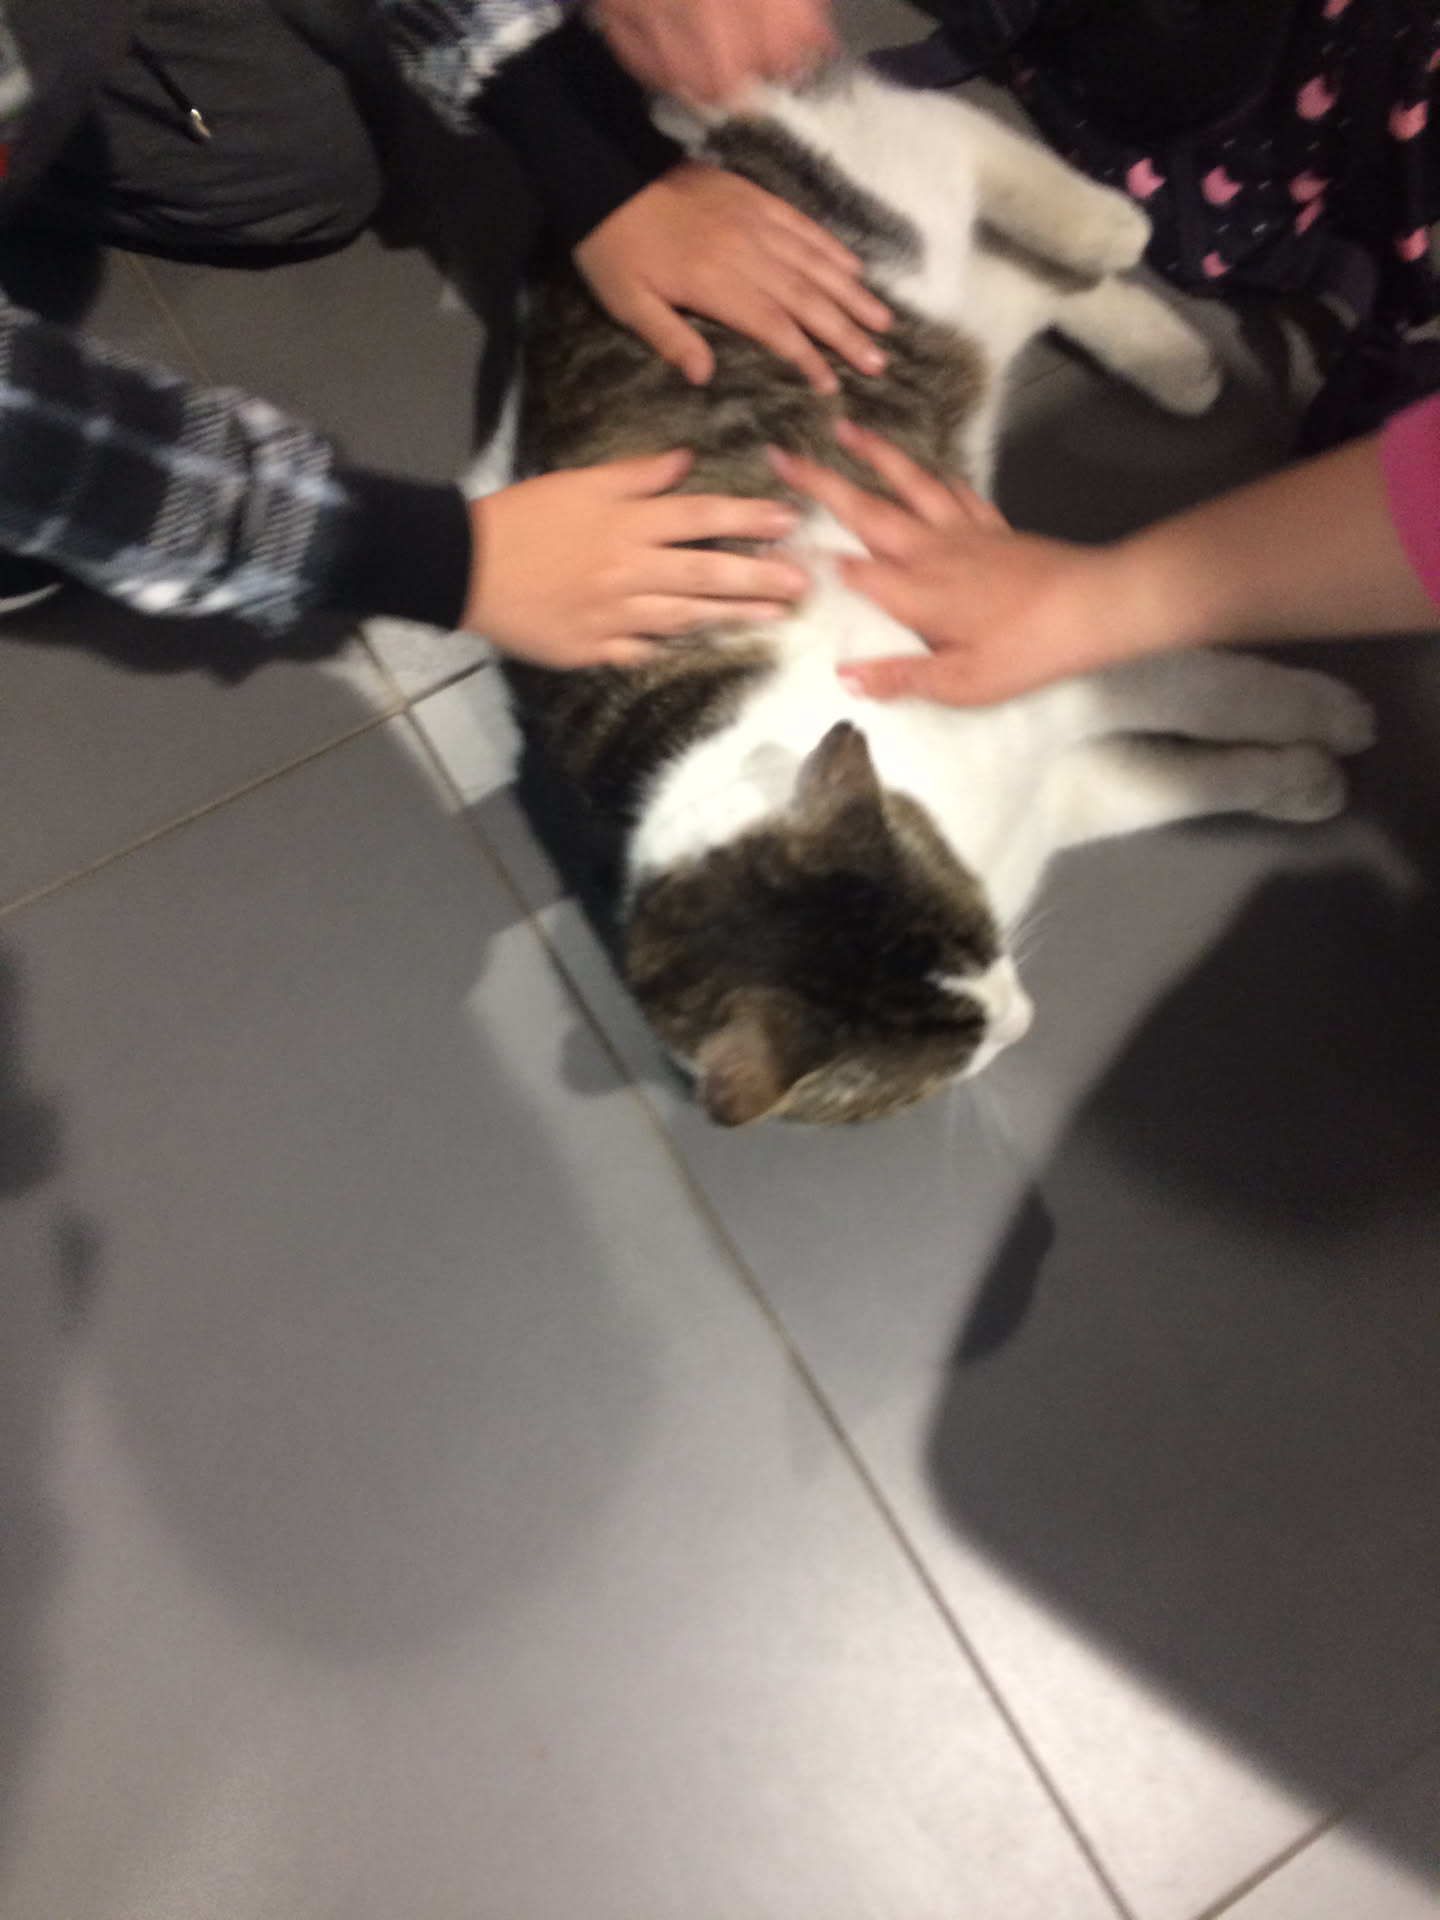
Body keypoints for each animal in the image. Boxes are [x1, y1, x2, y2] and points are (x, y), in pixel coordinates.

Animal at [483, 62, 1375, 1127]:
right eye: (951, 1046)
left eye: (976, 951)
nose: (1020, 1022)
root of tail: (663, 162)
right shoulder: (1054, 793)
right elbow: (1168, 782)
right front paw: (1302, 780)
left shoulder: (1048, 660)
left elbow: (1214, 689)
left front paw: (1336, 716)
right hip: (941, 323)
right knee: (1017, 290)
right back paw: (1169, 353)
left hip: (872, 208)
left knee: (947, 122)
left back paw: (1103, 221)